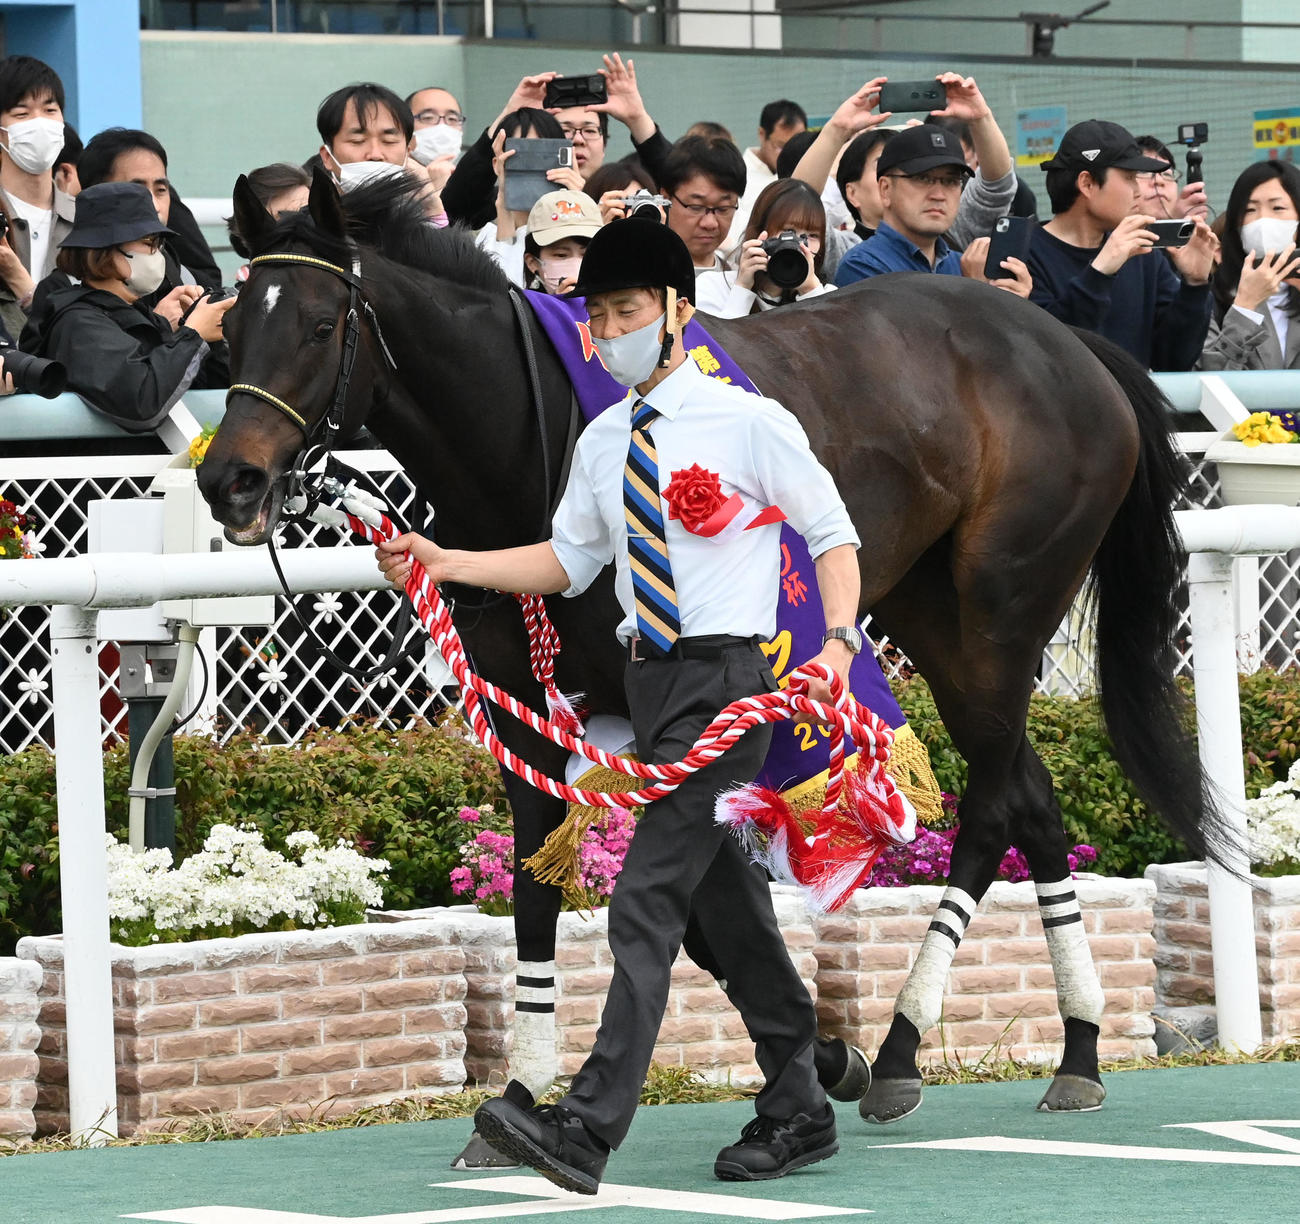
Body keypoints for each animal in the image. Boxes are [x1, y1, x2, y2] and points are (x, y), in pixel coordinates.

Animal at [199, 170, 1226, 1136]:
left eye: (321, 324)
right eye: (230, 326)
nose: (230, 479)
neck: (531, 439)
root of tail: (1068, 343)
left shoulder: (668, 710)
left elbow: (694, 901)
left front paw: (820, 1056)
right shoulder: (519, 707)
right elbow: (544, 881)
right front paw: (524, 1093)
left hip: (1004, 611)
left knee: (999, 799)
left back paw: (946, 1049)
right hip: (936, 612)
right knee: (1030, 796)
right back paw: (1040, 1048)